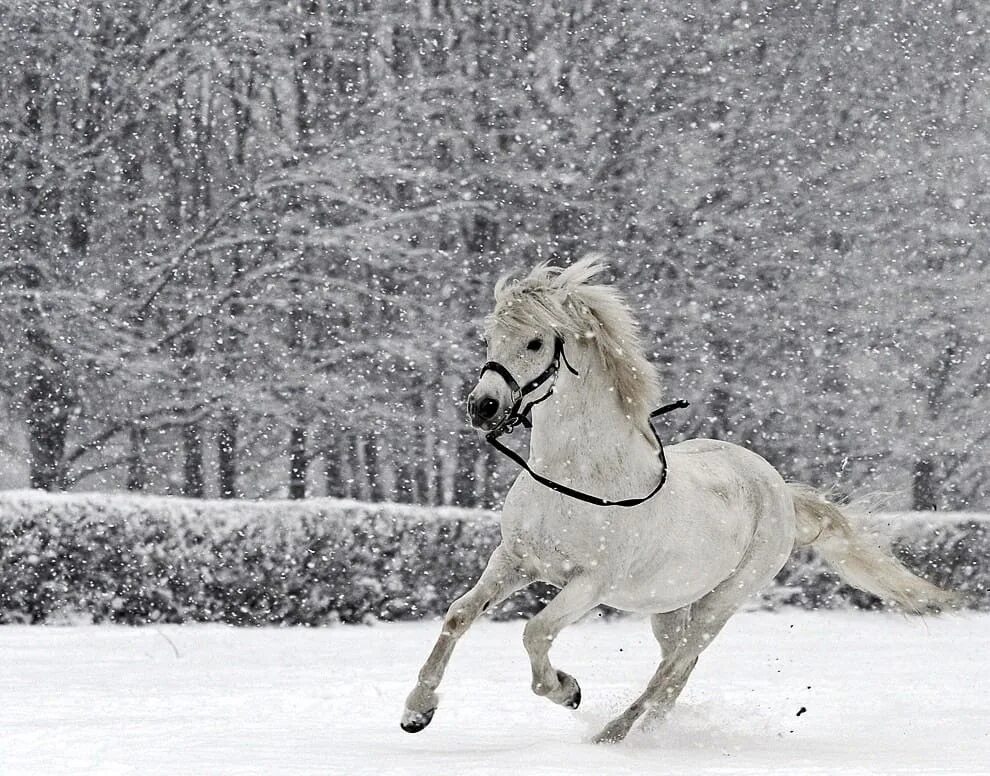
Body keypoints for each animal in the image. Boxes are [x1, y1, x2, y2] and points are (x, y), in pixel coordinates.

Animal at [400, 258, 956, 744]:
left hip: (722, 601)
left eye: (536, 341)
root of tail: (775, 486)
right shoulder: (515, 560)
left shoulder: (590, 583)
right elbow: (458, 615)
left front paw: (568, 690)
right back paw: (648, 728)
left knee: (673, 665)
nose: (482, 407)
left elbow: (535, 633)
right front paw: (417, 712)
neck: (578, 478)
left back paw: (612, 733)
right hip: (669, 605)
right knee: (678, 666)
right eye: (489, 338)